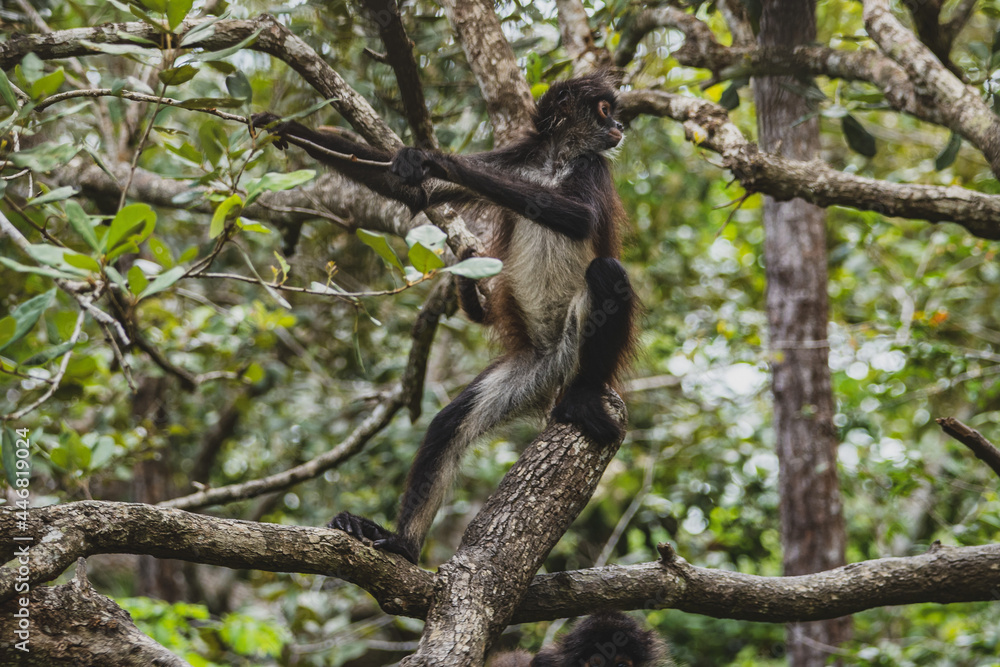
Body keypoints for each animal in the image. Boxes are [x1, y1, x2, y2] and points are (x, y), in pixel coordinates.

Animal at [253, 71, 637, 564]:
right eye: (606, 111)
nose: (620, 126)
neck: (557, 162)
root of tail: (559, 360)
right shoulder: (519, 160)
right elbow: (406, 191)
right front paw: (280, 124)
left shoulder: (592, 166)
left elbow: (582, 217)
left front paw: (436, 159)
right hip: (535, 366)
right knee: (447, 425)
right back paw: (402, 544)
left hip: (578, 342)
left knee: (606, 273)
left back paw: (586, 395)